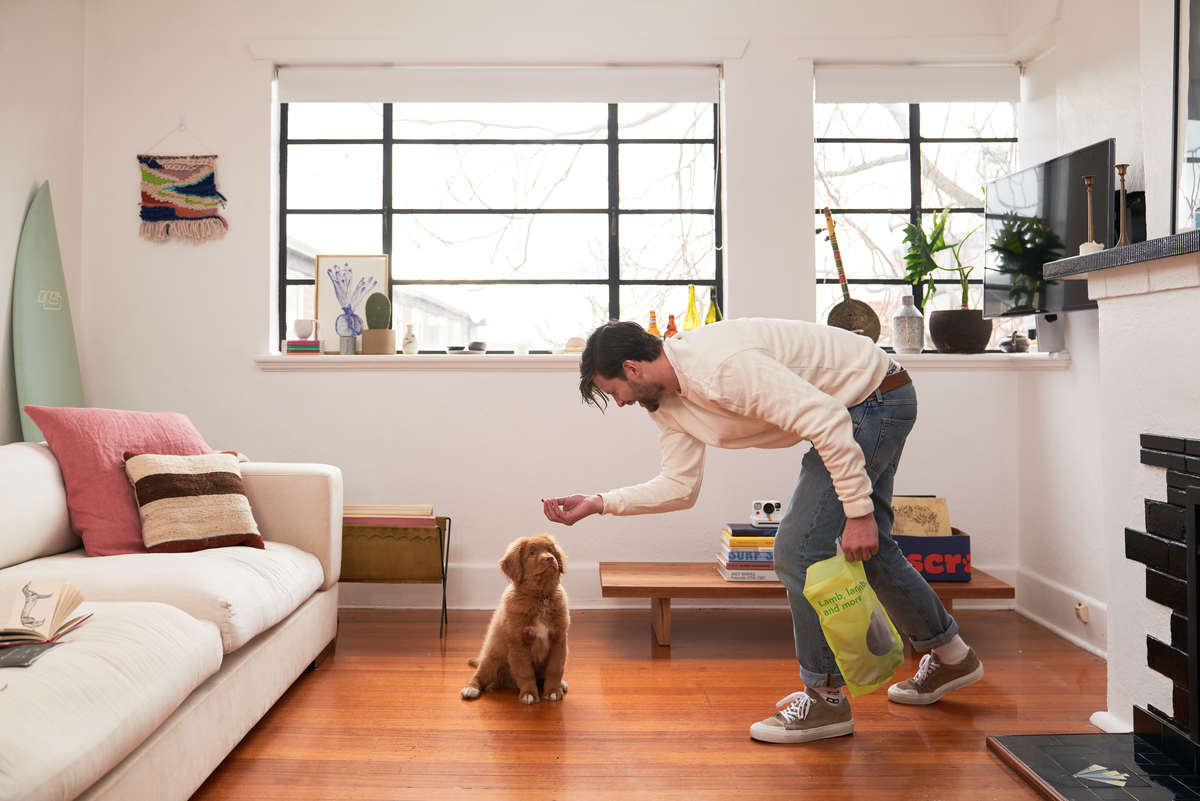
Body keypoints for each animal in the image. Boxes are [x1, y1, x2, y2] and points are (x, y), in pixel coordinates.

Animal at [460, 534, 568, 705]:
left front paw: (552, 691)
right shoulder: (518, 643)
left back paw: (559, 684)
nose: (550, 558)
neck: (540, 598)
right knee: (480, 675)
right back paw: (471, 688)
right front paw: (529, 694)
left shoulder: (559, 639)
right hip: (492, 657)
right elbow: (525, 672)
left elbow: (555, 668)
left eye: (550, 550)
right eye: (531, 553)